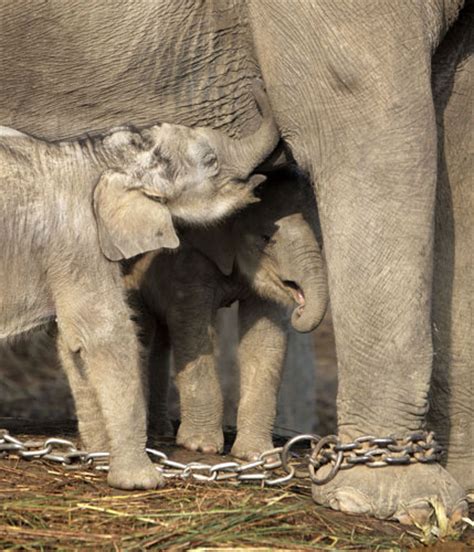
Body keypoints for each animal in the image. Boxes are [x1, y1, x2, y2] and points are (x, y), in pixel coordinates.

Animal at [0, 87, 280, 492]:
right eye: (210, 161)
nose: (262, 181)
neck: (97, 154)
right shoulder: (77, 241)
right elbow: (106, 333)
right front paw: (142, 481)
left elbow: (71, 342)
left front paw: (99, 456)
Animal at [128, 168, 328, 462]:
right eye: (266, 239)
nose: (300, 308)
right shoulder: (190, 257)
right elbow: (192, 326)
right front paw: (200, 446)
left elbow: (264, 337)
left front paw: (257, 455)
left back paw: (160, 429)